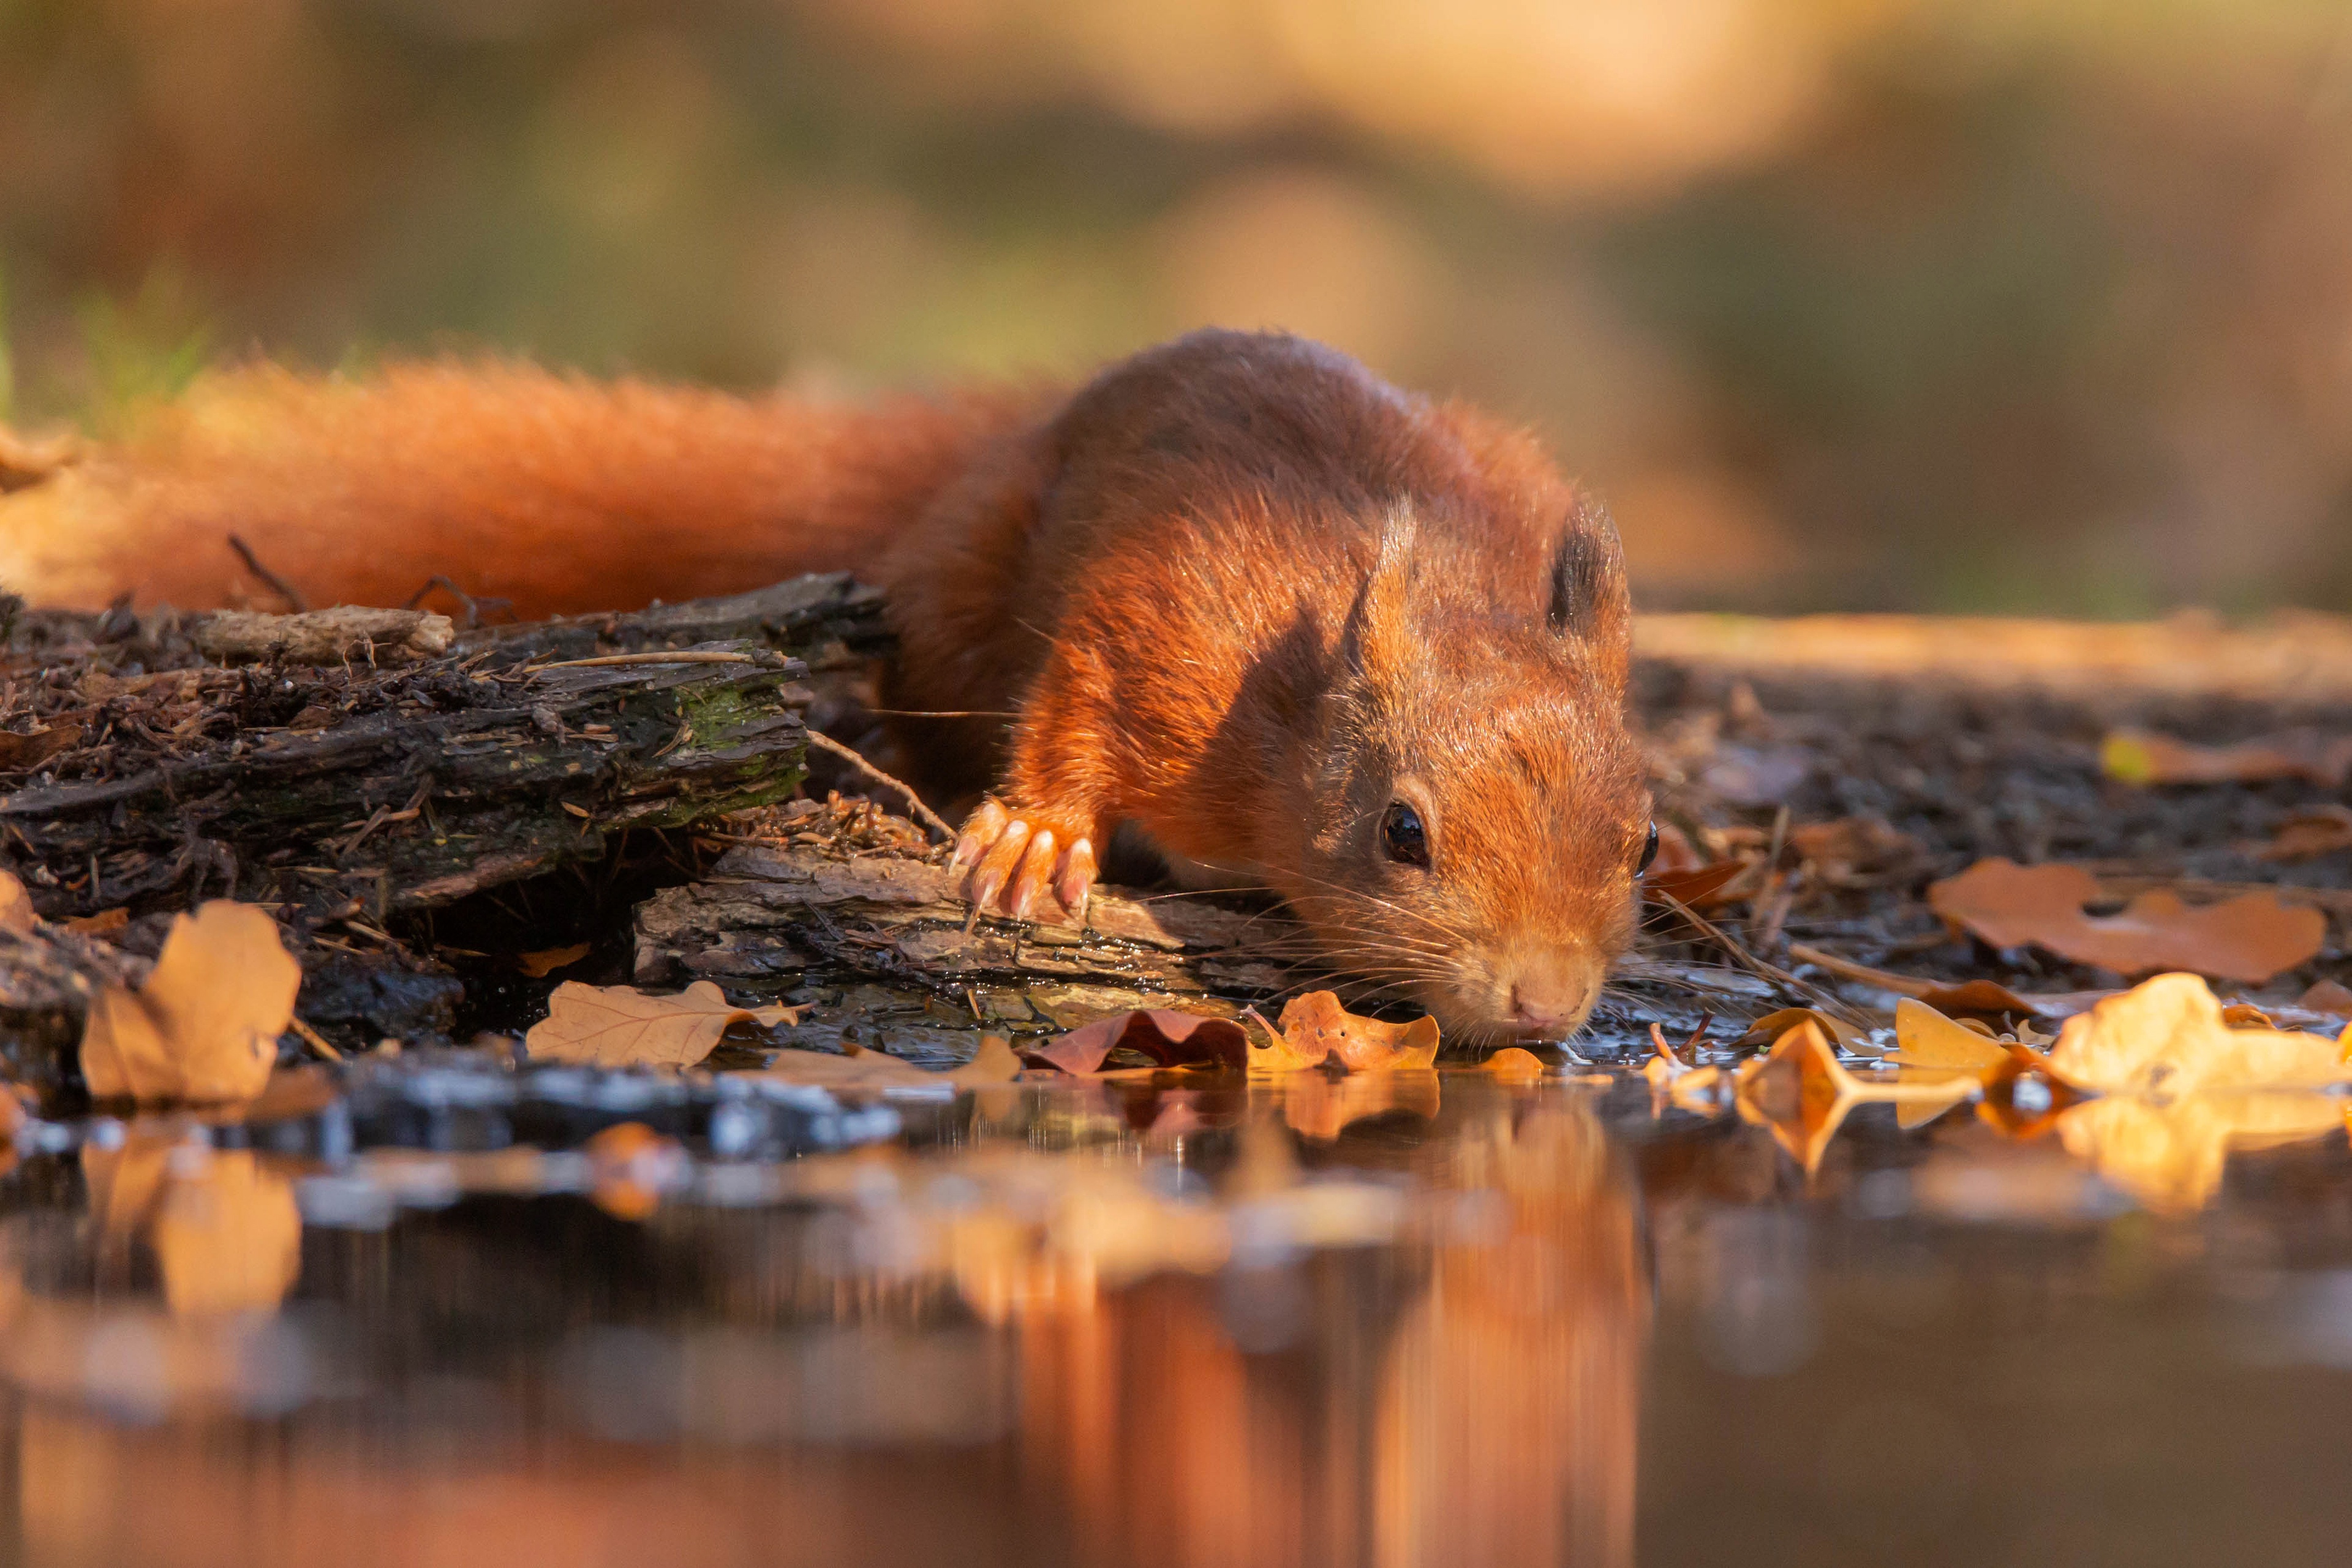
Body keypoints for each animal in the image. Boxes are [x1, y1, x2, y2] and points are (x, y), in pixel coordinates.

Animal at [0, 334, 1656, 1044]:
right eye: (1401, 832)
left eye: (1641, 840)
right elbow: (1079, 698)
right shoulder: (1172, 609)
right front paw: (1035, 839)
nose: (1546, 1001)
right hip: (960, 583)